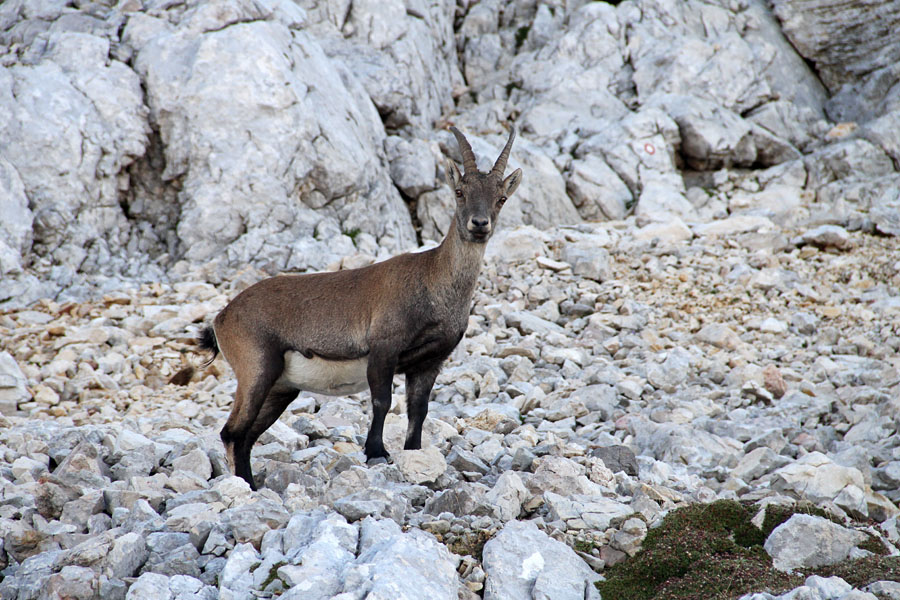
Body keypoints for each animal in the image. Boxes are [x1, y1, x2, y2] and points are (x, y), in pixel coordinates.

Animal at [197, 126, 523, 489]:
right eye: (460, 191)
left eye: (501, 198)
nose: (479, 224)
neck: (433, 282)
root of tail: (221, 319)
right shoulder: (383, 348)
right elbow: (382, 401)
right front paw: (377, 452)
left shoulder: (428, 363)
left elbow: (418, 411)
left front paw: (414, 454)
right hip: (256, 369)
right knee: (232, 432)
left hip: (280, 387)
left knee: (246, 436)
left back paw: (251, 485)